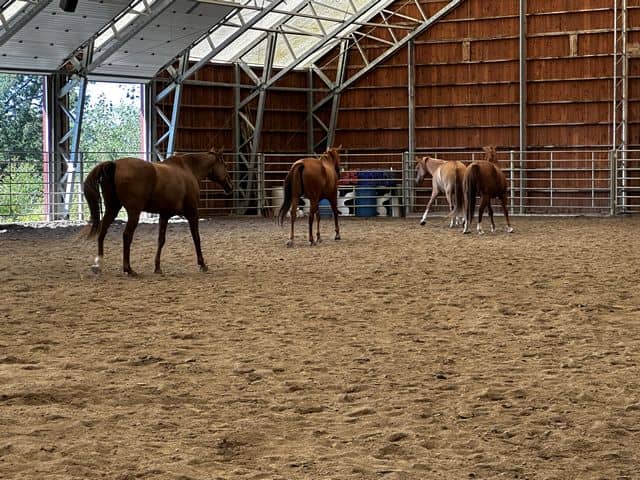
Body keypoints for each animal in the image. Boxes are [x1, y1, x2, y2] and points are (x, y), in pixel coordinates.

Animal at [82, 148, 232, 276]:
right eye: (224, 164)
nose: (230, 186)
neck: (187, 169)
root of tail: (115, 164)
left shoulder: (164, 215)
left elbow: (161, 240)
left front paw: (157, 267)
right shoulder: (192, 213)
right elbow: (196, 237)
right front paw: (202, 264)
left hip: (112, 209)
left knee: (103, 231)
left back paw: (98, 264)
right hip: (134, 213)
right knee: (126, 236)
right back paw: (128, 269)